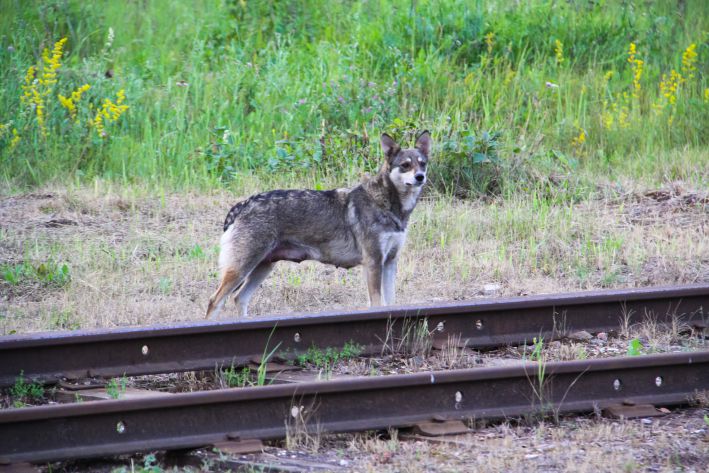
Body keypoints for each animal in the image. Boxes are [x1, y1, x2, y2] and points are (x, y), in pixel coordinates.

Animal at [202, 131, 428, 318]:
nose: (420, 177)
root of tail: (242, 205)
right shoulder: (373, 262)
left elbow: (391, 303)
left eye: (422, 163)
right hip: (242, 269)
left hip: (262, 268)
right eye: (405, 165)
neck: (389, 205)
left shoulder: (389, 262)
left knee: (239, 299)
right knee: (214, 301)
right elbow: (377, 304)